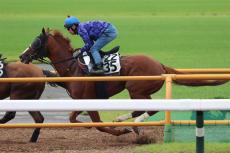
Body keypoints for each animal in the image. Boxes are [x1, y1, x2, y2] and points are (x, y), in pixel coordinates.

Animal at [19, 28, 228, 136]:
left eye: (36, 41)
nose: (22, 56)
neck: (73, 67)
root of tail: (160, 65)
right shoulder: (80, 99)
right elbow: (73, 118)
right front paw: (85, 124)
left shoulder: (90, 99)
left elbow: (98, 124)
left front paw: (119, 131)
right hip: (138, 91)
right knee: (142, 108)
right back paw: (124, 120)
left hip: (136, 89)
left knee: (150, 108)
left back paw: (132, 123)